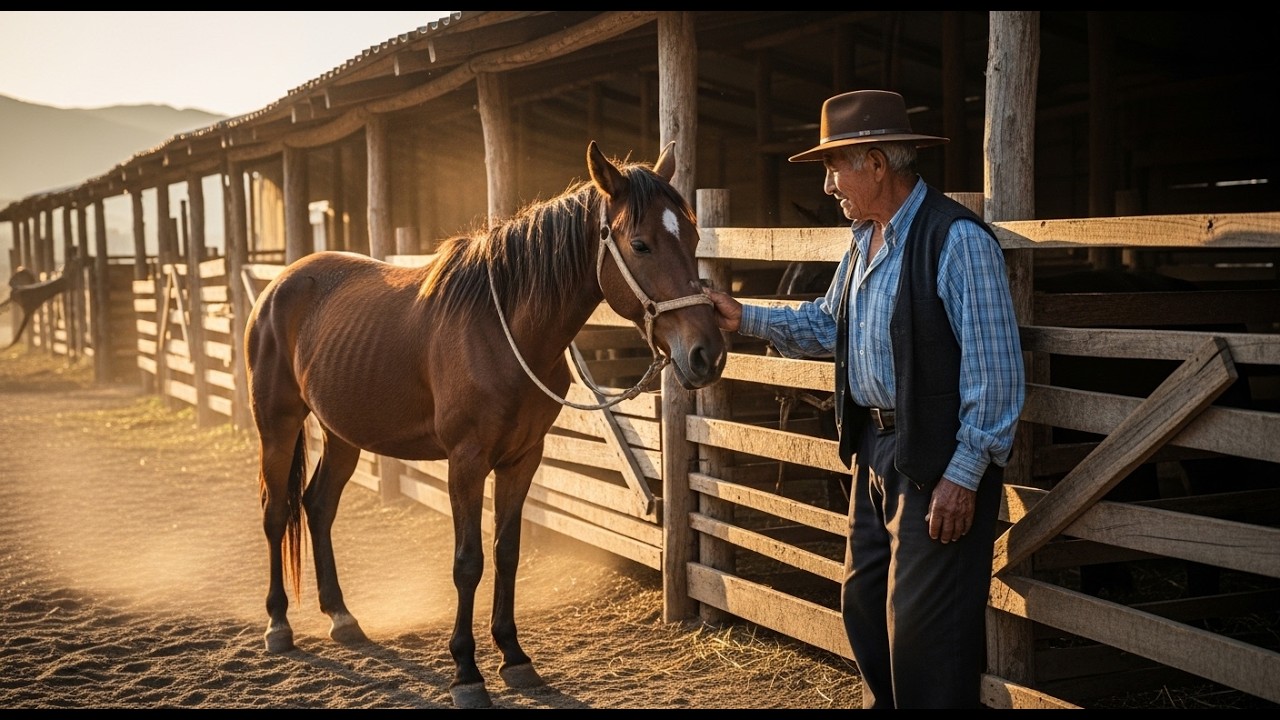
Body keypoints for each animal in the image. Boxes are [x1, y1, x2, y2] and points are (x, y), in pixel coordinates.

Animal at [243, 141, 726, 709]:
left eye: (692, 237)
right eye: (641, 244)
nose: (707, 354)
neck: (501, 331)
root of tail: (280, 284)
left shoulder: (522, 459)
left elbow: (507, 553)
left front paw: (514, 657)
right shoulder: (467, 462)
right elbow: (468, 561)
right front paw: (466, 672)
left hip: (343, 433)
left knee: (318, 507)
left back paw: (341, 617)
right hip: (277, 424)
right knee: (277, 512)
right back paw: (278, 625)